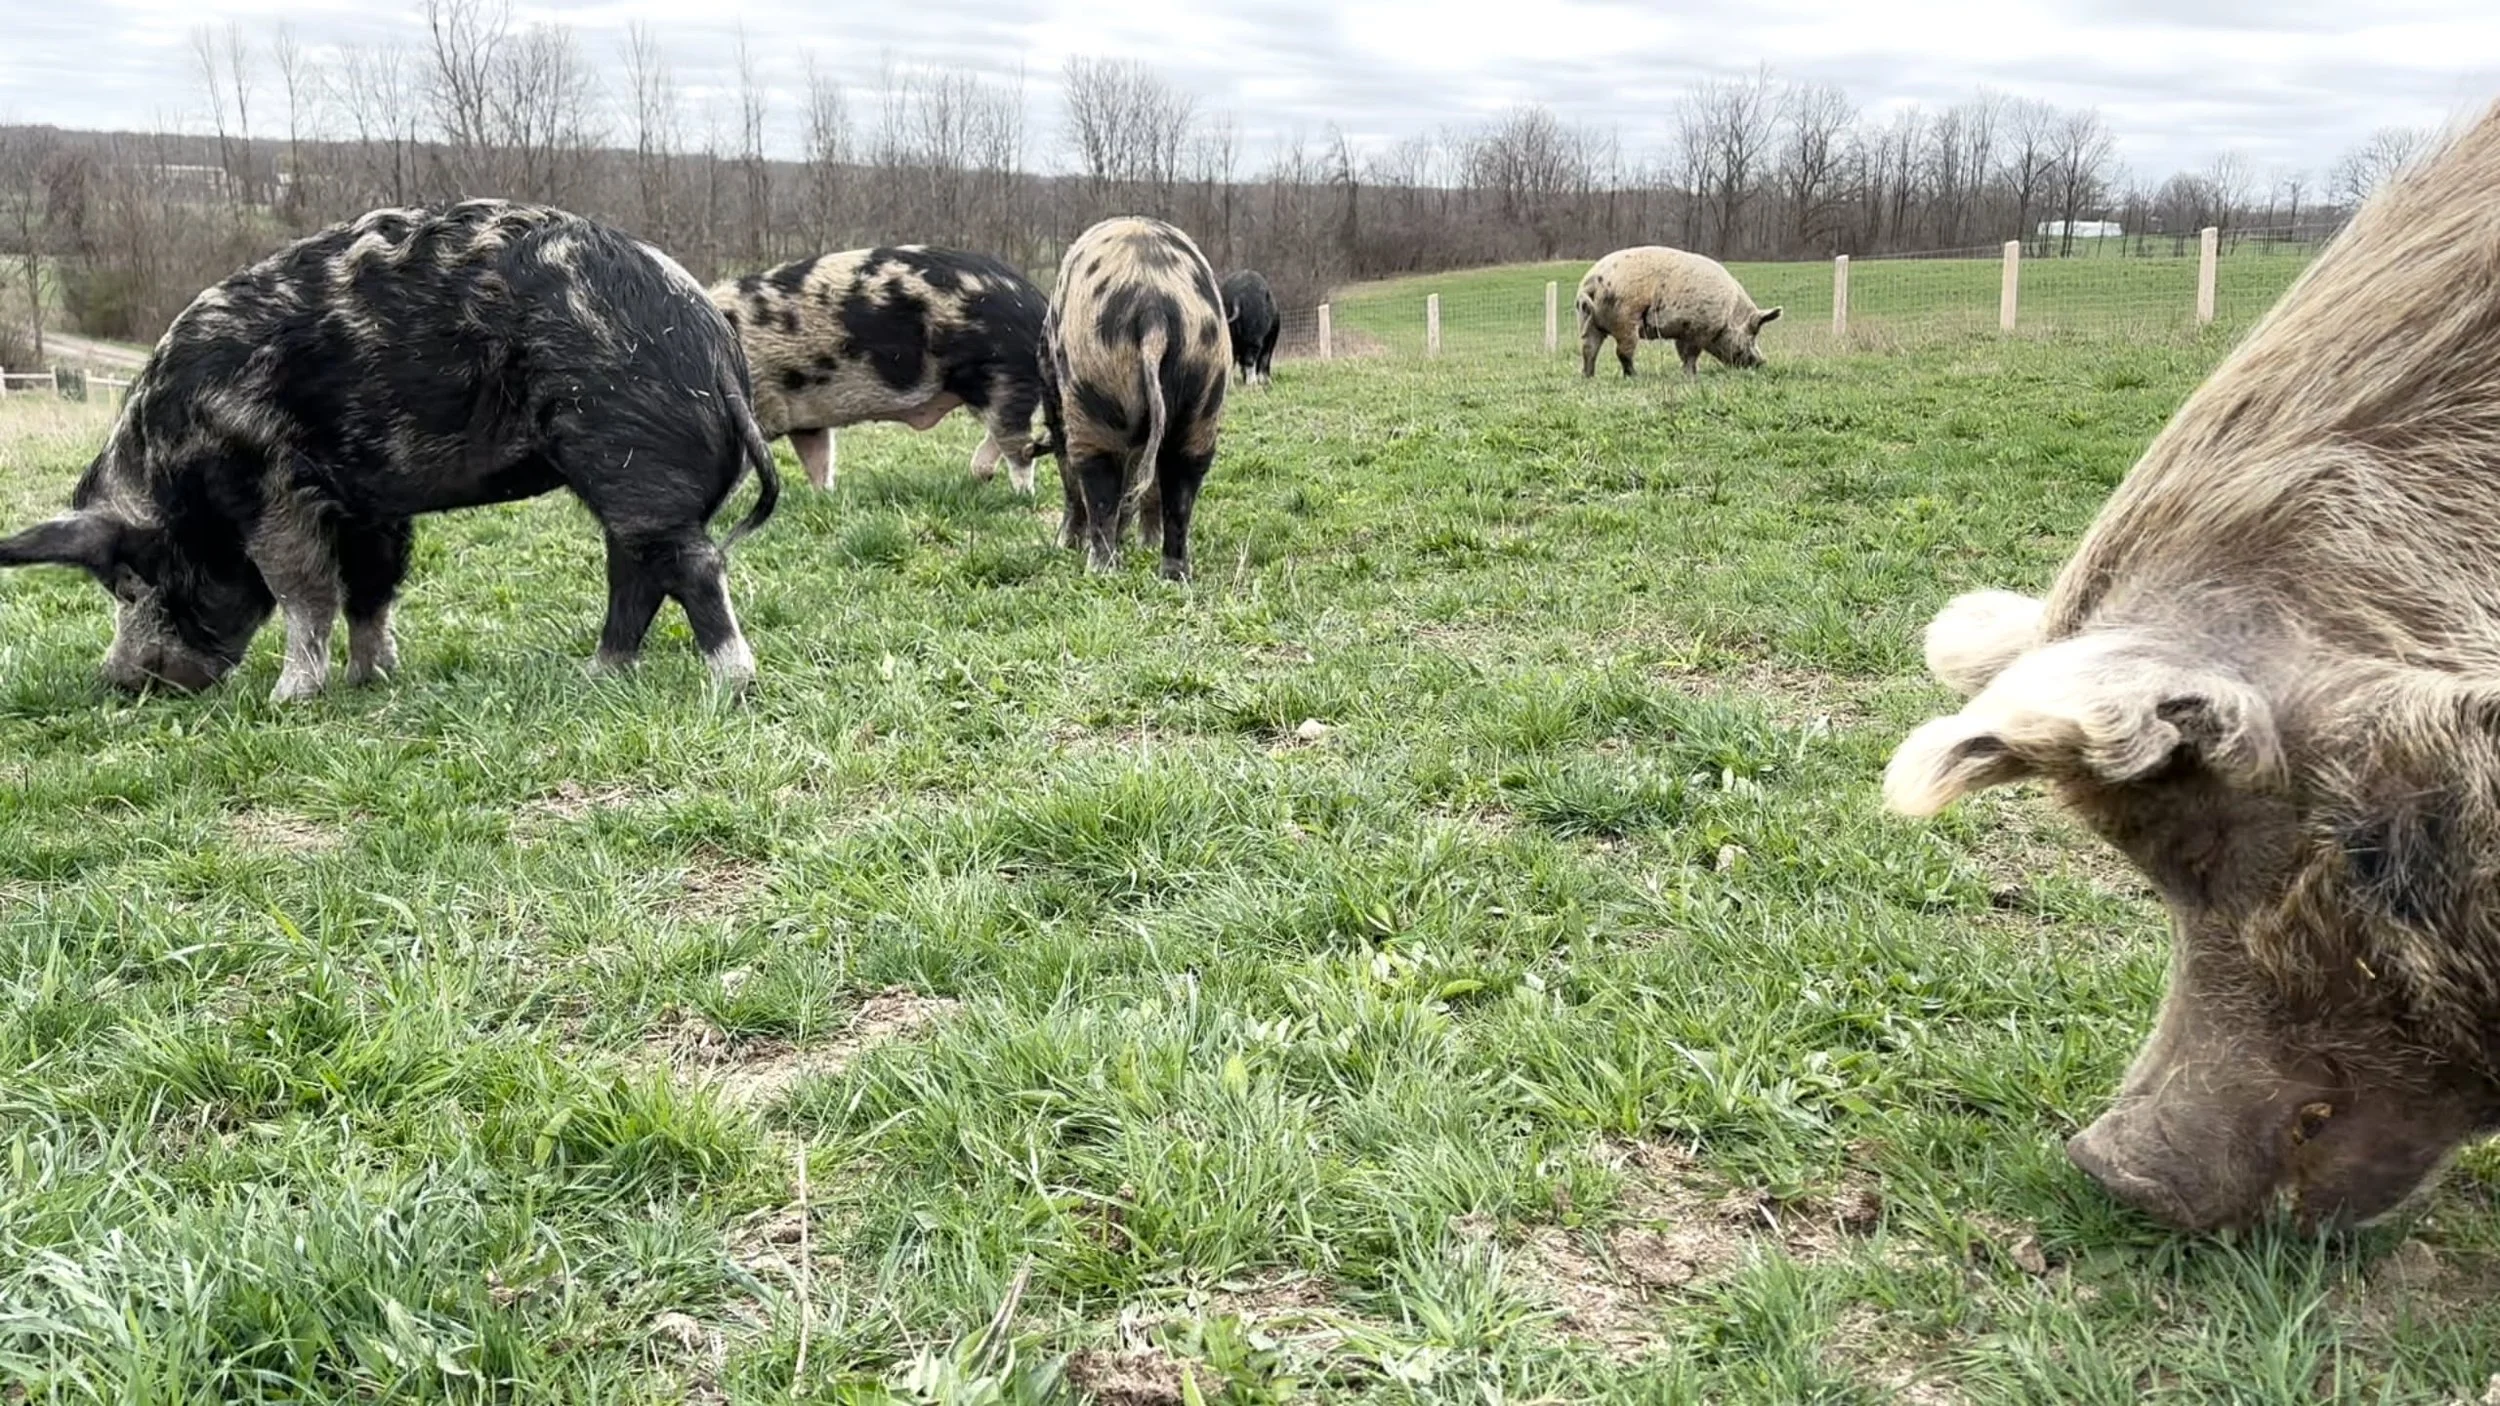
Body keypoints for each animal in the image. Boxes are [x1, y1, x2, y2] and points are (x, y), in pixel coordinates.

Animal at [0, 200, 780, 701]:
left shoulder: (272, 485)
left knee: (691, 565)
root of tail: (716, 349)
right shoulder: (368, 503)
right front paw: (371, 678)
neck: (175, 455)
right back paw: (598, 673)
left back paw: (728, 681)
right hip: (629, 486)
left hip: (631, 458)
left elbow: (305, 592)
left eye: (132, 583)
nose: (117, 680)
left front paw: (290, 698)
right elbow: (371, 587)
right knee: (637, 573)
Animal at [710, 246, 1049, 494]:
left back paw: (1021, 494)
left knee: (1018, 443)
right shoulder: (804, 419)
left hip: (1004, 374)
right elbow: (819, 458)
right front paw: (825, 497)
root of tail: (1039, 303)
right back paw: (981, 475)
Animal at [1032, 217, 1230, 582]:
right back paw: (1173, 575)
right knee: (1181, 487)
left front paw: (1064, 544)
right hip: (1204, 395)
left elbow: (1074, 483)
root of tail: (1154, 310)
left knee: (1097, 484)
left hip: (1093, 390)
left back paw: (1100, 569)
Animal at [1577, 246, 1780, 378]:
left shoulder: (1683, 332)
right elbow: (1690, 355)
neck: (1728, 316)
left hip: (1589, 321)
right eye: (1752, 335)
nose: (1762, 362)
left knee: (1589, 348)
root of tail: (1592, 282)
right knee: (1623, 352)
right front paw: (1691, 375)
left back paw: (1589, 376)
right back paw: (1634, 376)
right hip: (1625, 319)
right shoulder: (1698, 331)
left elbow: (1682, 353)